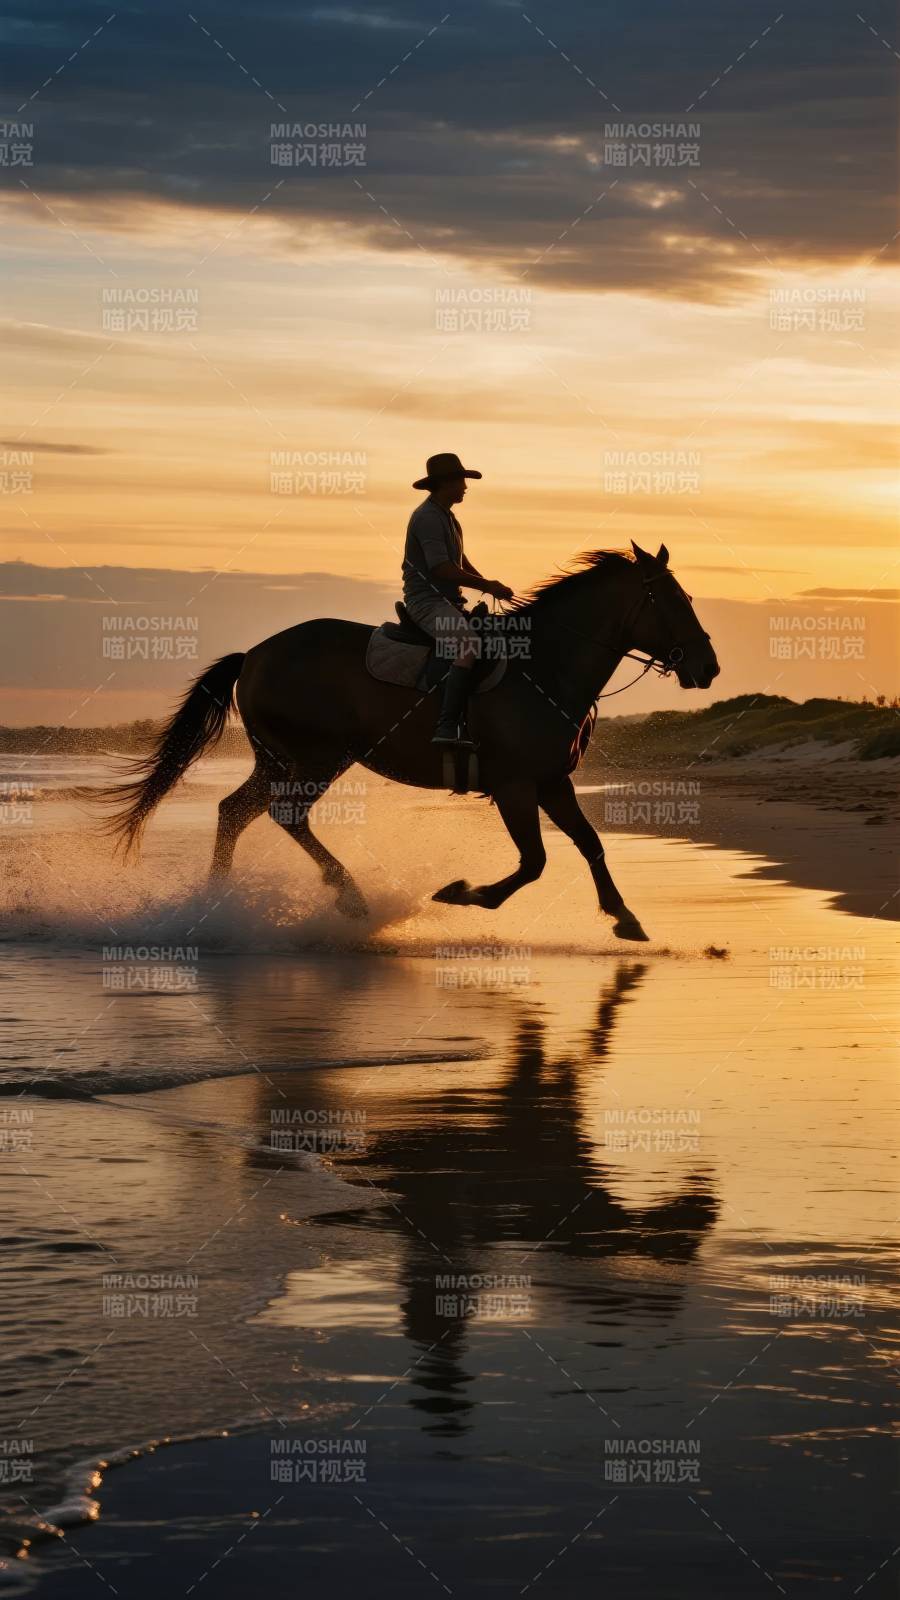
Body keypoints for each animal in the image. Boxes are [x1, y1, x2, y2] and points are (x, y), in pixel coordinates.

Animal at [95, 541, 718, 940]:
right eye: (673, 600)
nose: (707, 667)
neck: (545, 665)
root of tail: (255, 654)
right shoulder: (516, 786)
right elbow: (535, 861)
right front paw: (463, 893)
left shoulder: (551, 782)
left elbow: (590, 845)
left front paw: (624, 918)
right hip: (317, 757)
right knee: (284, 815)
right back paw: (349, 898)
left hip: (280, 759)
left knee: (234, 811)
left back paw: (215, 904)